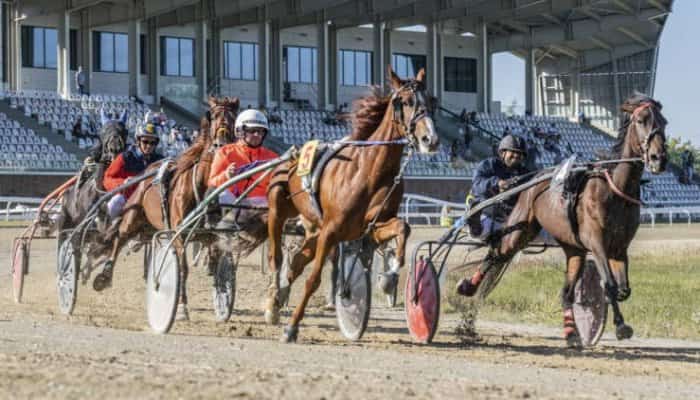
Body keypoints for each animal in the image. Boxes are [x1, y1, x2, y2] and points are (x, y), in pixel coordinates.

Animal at [91, 96, 239, 318]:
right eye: (213, 116)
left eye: (233, 118)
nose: (221, 143)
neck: (202, 188)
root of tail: (148, 172)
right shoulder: (179, 233)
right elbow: (183, 268)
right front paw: (182, 306)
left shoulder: (211, 234)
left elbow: (216, 259)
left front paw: (222, 291)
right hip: (132, 216)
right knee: (119, 239)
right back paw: (104, 276)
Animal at [266, 65, 440, 340]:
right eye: (405, 101)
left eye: (432, 101)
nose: (430, 140)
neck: (368, 171)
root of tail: (291, 155)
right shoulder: (331, 230)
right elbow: (313, 280)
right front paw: (291, 328)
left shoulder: (370, 227)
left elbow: (403, 227)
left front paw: (390, 275)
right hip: (278, 212)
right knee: (277, 257)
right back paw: (273, 302)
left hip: (314, 229)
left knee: (297, 261)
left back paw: (282, 292)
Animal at [460, 94, 668, 346]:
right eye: (640, 120)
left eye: (664, 122)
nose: (659, 158)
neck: (614, 188)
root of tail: (533, 180)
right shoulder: (596, 242)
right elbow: (609, 285)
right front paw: (620, 326)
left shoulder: (619, 248)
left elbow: (623, 290)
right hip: (519, 231)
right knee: (495, 254)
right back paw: (468, 286)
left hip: (573, 248)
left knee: (566, 292)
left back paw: (571, 333)